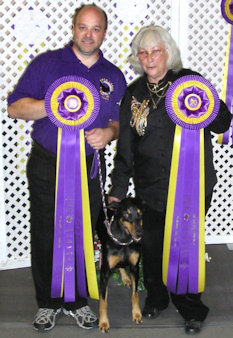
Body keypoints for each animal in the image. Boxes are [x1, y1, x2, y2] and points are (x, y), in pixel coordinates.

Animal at [97, 197, 143, 332]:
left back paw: (125, 278)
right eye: (126, 214)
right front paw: (103, 322)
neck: (124, 239)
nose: (139, 233)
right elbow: (103, 300)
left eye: (140, 213)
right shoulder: (105, 272)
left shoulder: (135, 268)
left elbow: (135, 294)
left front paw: (136, 314)